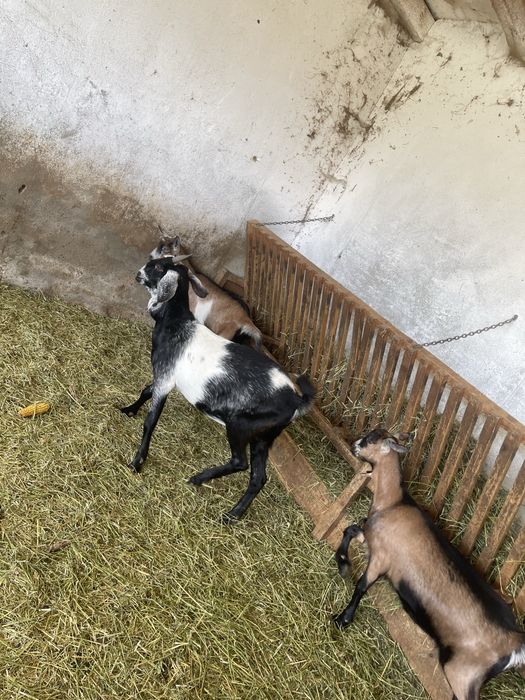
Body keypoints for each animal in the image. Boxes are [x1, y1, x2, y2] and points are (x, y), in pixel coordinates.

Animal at [120, 256, 315, 522]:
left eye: (158, 267)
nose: (138, 273)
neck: (177, 322)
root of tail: (296, 400)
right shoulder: (165, 376)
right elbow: (145, 390)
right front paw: (129, 409)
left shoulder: (165, 377)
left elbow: (150, 421)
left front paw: (137, 462)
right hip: (264, 436)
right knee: (258, 478)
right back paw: (232, 514)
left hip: (241, 424)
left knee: (240, 462)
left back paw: (199, 478)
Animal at [333, 427, 525, 700]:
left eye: (371, 439)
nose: (354, 444)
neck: (393, 503)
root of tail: (514, 644)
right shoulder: (370, 540)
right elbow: (349, 529)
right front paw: (342, 562)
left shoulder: (381, 556)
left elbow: (361, 586)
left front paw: (343, 618)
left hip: (462, 675)